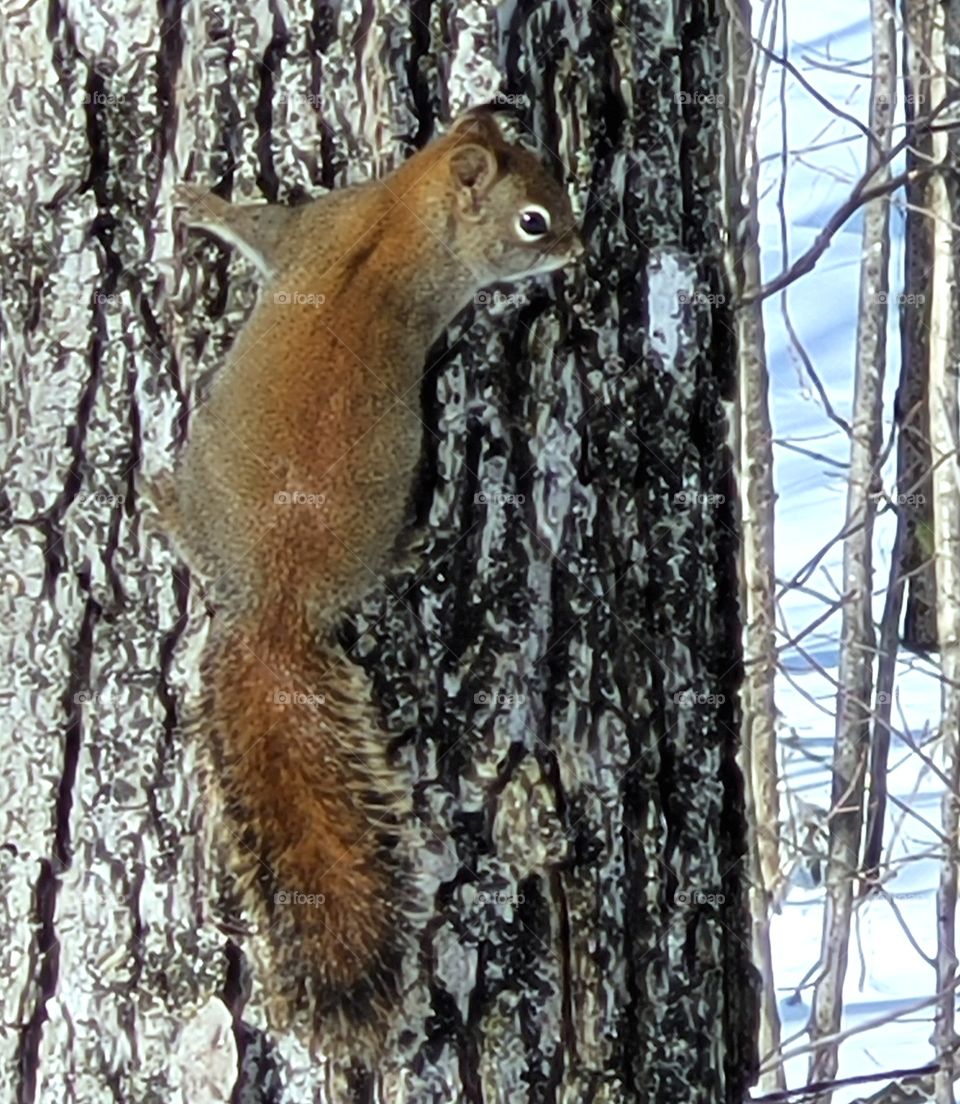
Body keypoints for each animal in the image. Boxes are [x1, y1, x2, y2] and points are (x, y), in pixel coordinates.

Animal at [152, 107, 582, 1039]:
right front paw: (201, 203)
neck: (399, 215)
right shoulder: (323, 225)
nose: (577, 249)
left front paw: (201, 204)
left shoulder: (313, 229)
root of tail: (279, 596)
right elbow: (255, 226)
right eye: (535, 218)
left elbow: (258, 228)